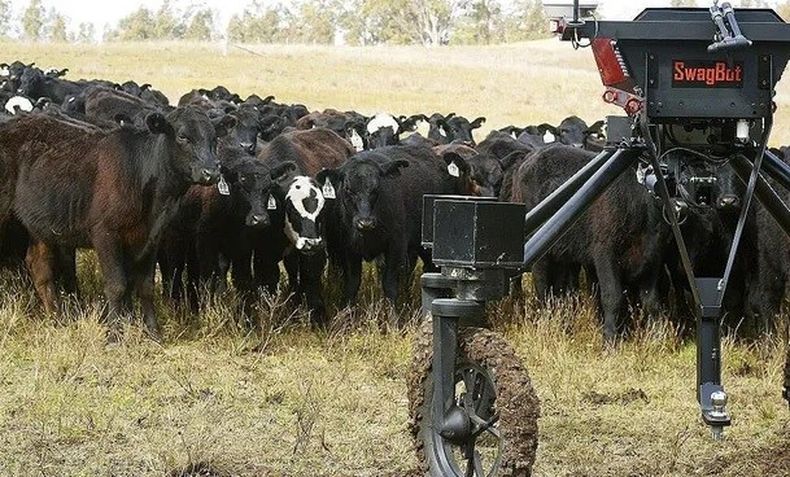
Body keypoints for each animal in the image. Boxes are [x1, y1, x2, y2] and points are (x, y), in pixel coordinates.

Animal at [0, 106, 232, 341]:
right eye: (183, 136)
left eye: (214, 138)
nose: (211, 172)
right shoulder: (105, 233)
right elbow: (117, 285)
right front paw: (114, 335)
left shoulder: (150, 237)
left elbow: (144, 286)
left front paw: (152, 332)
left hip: (39, 225)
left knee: (40, 266)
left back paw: (56, 318)